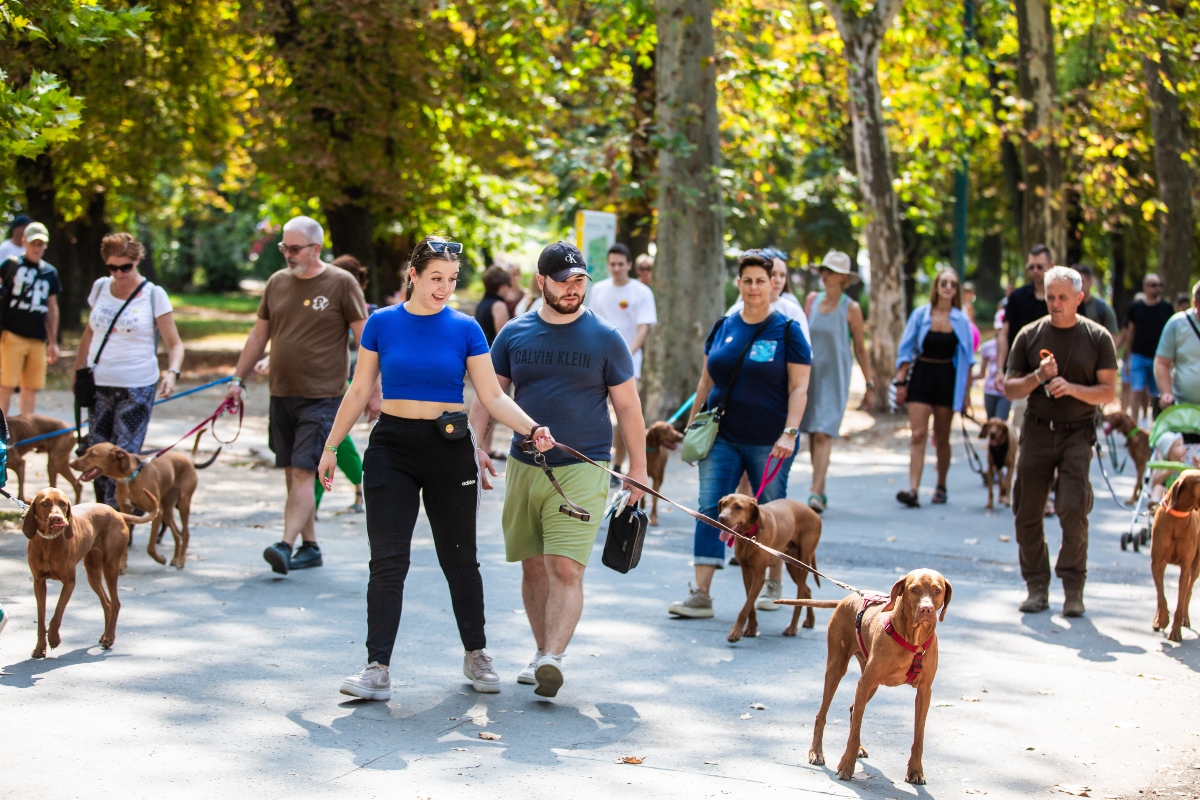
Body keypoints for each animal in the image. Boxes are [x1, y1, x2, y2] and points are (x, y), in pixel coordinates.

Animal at [25, 484, 159, 662]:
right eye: (45, 504)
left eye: (63, 504)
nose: (57, 519)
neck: (49, 542)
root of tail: (115, 512)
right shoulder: (39, 582)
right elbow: (41, 618)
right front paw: (40, 648)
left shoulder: (69, 582)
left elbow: (58, 612)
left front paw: (54, 638)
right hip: (92, 571)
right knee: (107, 603)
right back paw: (105, 635)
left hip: (110, 566)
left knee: (115, 603)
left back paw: (109, 638)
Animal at [70, 443, 200, 568]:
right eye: (86, 451)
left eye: (92, 454)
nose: (71, 463)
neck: (131, 476)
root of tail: (188, 459)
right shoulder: (126, 510)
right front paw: (122, 565)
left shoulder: (157, 513)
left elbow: (150, 547)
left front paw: (161, 559)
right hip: (167, 510)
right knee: (177, 534)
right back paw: (175, 558)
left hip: (183, 504)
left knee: (185, 534)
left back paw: (181, 560)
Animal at [715, 494, 820, 642]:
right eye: (723, 504)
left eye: (738, 507)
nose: (721, 518)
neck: (749, 535)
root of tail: (815, 514)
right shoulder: (746, 572)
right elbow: (749, 605)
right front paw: (751, 628)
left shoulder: (759, 577)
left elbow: (745, 608)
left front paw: (735, 632)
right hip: (793, 566)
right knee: (807, 588)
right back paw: (810, 619)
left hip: (803, 563)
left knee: (801, 592)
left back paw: (792, 627)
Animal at [777, 566, 955, 786]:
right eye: (914, 589)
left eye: (937, 591)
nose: (926, 610)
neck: (912, 639)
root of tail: (849, 597)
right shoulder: (864, 683)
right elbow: (852, 735)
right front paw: (846, 765)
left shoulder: (924, 692)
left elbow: (918, 737)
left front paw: (915, 770)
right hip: (838, 670)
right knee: (823, 714)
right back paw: (816, 752)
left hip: (871, 686)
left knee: (854, 710)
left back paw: (857, 748)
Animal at [1142, 472, 1200, 642]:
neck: (1178, 516)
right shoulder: (1157, 562)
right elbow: (1160, 595)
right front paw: (1161, 620)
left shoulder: (1185, 567)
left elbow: (1181, 600)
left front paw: (1175, 631)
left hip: (1196, 565)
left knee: (1189, 591)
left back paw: (1185, 619)